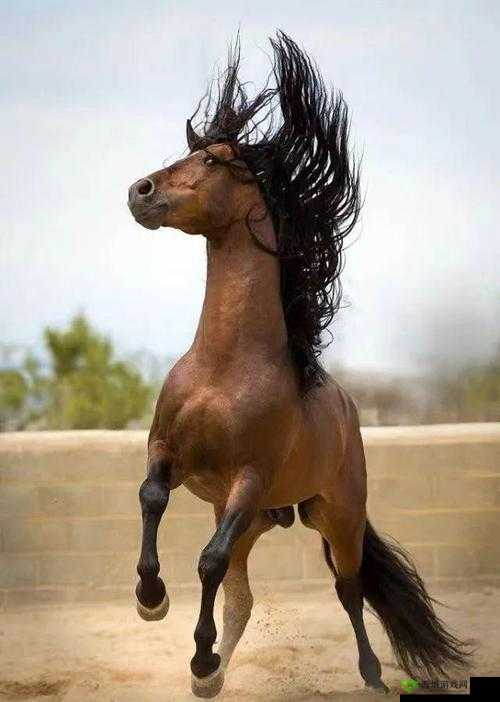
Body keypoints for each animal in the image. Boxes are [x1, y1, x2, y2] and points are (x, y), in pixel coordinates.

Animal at [127, 31, 470, 698]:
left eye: (214, 161)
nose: (139, 192)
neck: (224, 367)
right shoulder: (169, 451)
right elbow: (151, 497)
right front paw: (151, 599)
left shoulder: (249, 478)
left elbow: (205, 559)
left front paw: (192, 648)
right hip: (259, 520)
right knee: (241, 595)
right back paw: (213, 672)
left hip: (334, 515)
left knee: (348, 589)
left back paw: (370, 675)